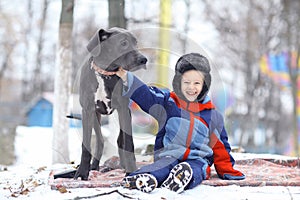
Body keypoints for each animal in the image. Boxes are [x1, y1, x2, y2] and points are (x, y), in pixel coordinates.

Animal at [74, 27, 146, 180]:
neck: (105, 73)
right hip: (95, 116)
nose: (143, 59)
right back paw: (94, 166)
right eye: (123, 43)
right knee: (100, 141)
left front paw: (131, 171)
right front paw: (82, 173)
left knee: (120, 140)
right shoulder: (87, 110)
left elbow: (128, 142)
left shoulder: (124, 109)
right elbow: (86, 145)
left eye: (136, 43)